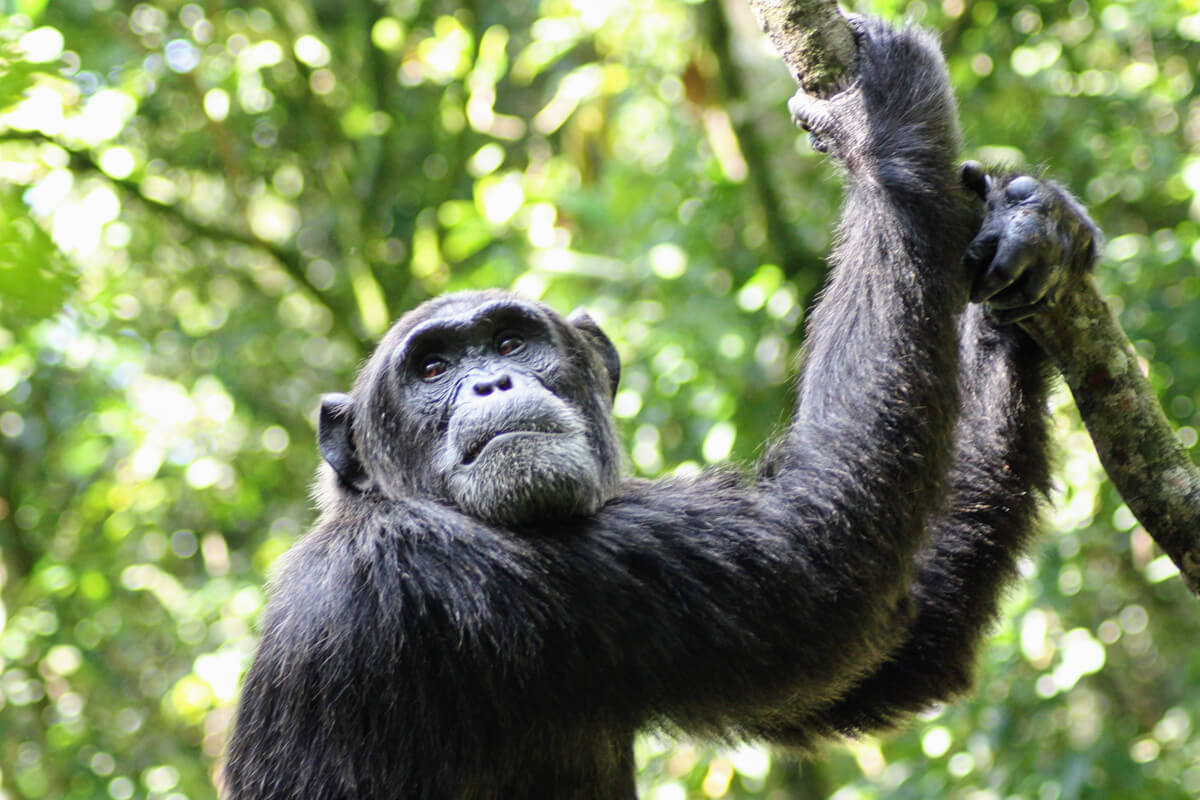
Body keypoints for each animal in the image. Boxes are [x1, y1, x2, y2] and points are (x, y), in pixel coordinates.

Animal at [223, 14, 1099, 800]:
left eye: (510, 342)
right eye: (433, 366)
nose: (490, 384)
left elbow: (902, 642)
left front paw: (1038, 234)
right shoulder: (433, 572)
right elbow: (816, 564)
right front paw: (879, 119)